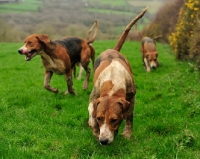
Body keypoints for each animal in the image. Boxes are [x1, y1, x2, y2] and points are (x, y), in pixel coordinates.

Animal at [88, 6, 148, 145]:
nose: (103, 141)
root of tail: (113, 49)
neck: (112, 81)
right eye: (99, 118)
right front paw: (95, 130)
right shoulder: (94, 98)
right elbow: (91, 117)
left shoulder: (131, 98)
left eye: (114, 120)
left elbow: (129, 117)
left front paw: (126, 133)